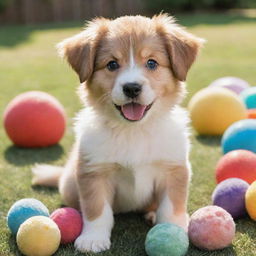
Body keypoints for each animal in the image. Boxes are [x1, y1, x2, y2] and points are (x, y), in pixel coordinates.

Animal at [32, 14, 204, 254]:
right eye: (112, 64)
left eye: (152, 63)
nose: (131, 88)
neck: (133, 131)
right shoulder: (94, 172)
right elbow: (97, 210)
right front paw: (93, 238)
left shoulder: (174, 170)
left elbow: (171, 208)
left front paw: (174, 231)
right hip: (69, 183)